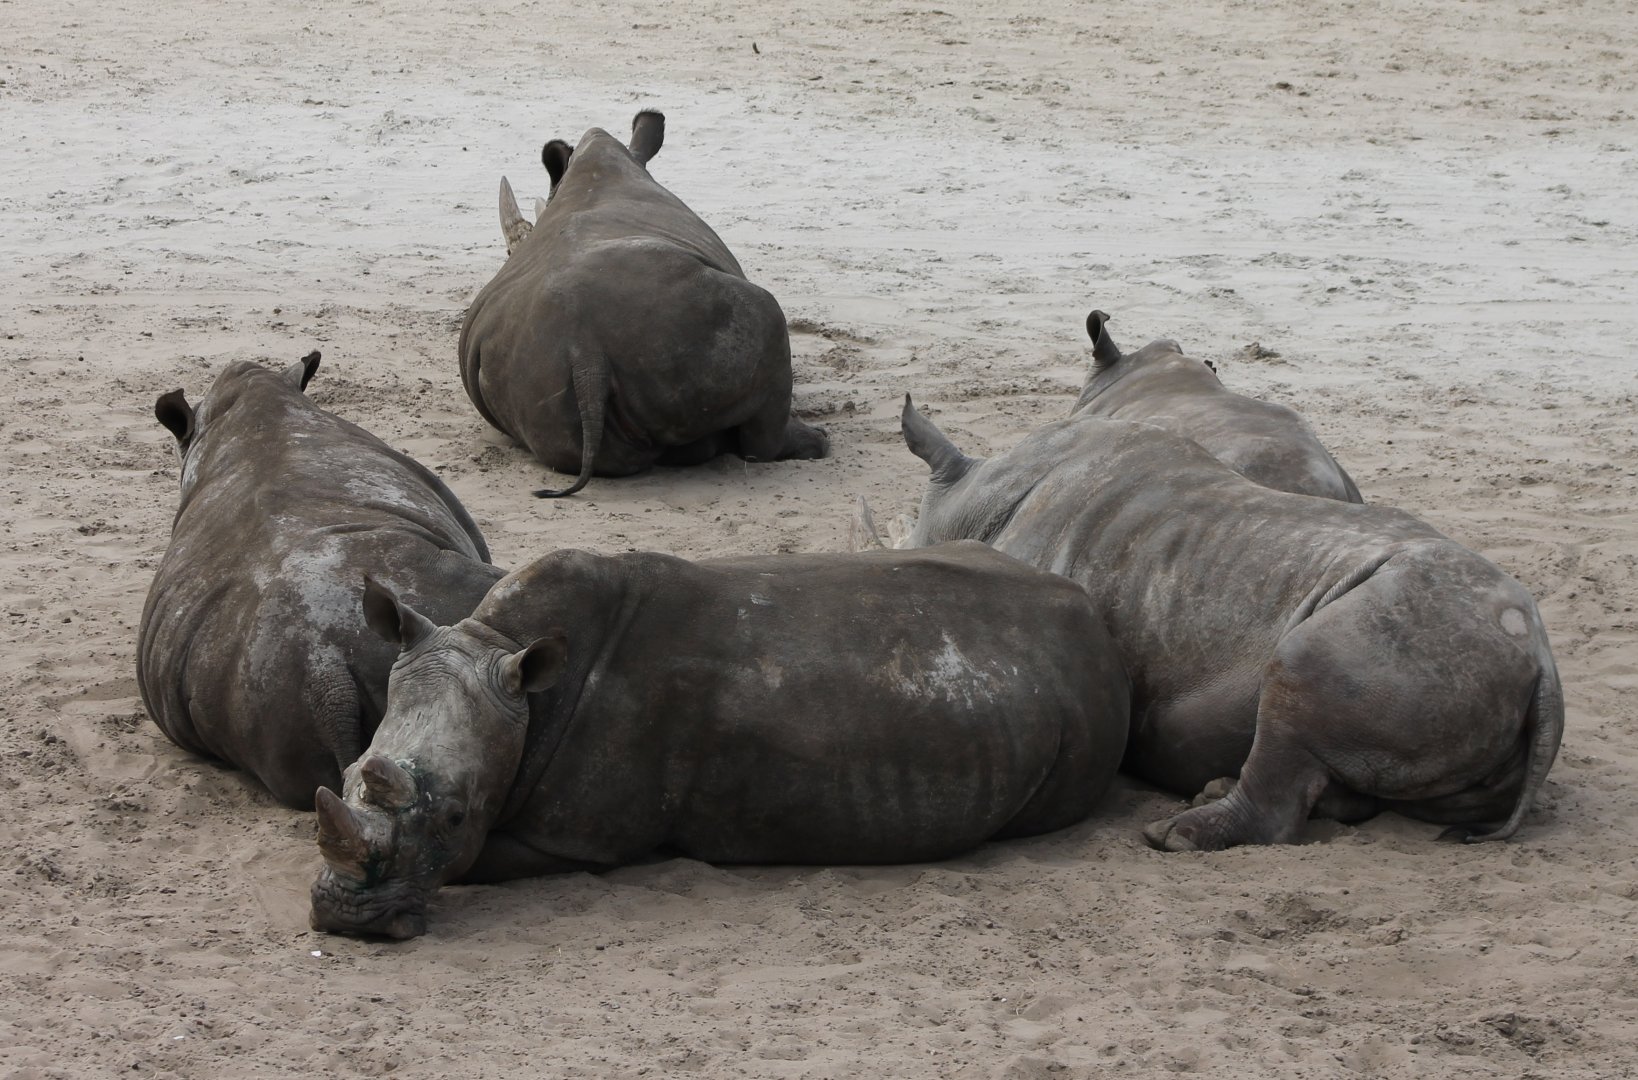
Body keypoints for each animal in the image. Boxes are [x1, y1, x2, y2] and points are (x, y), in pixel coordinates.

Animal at [308, 543, 1131, 939]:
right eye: (346, 777)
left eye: (453, 817)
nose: (346, 921)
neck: (507, 660)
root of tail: (1093, 612)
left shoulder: (575, 840)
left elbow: (474, 863)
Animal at [881, 397, 1561, 851]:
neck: (973, 499)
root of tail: (1542, 663)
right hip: (1450, 651)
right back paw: (1214, 794)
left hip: (1407, 633)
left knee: (1296, 675)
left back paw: (1177, 832)